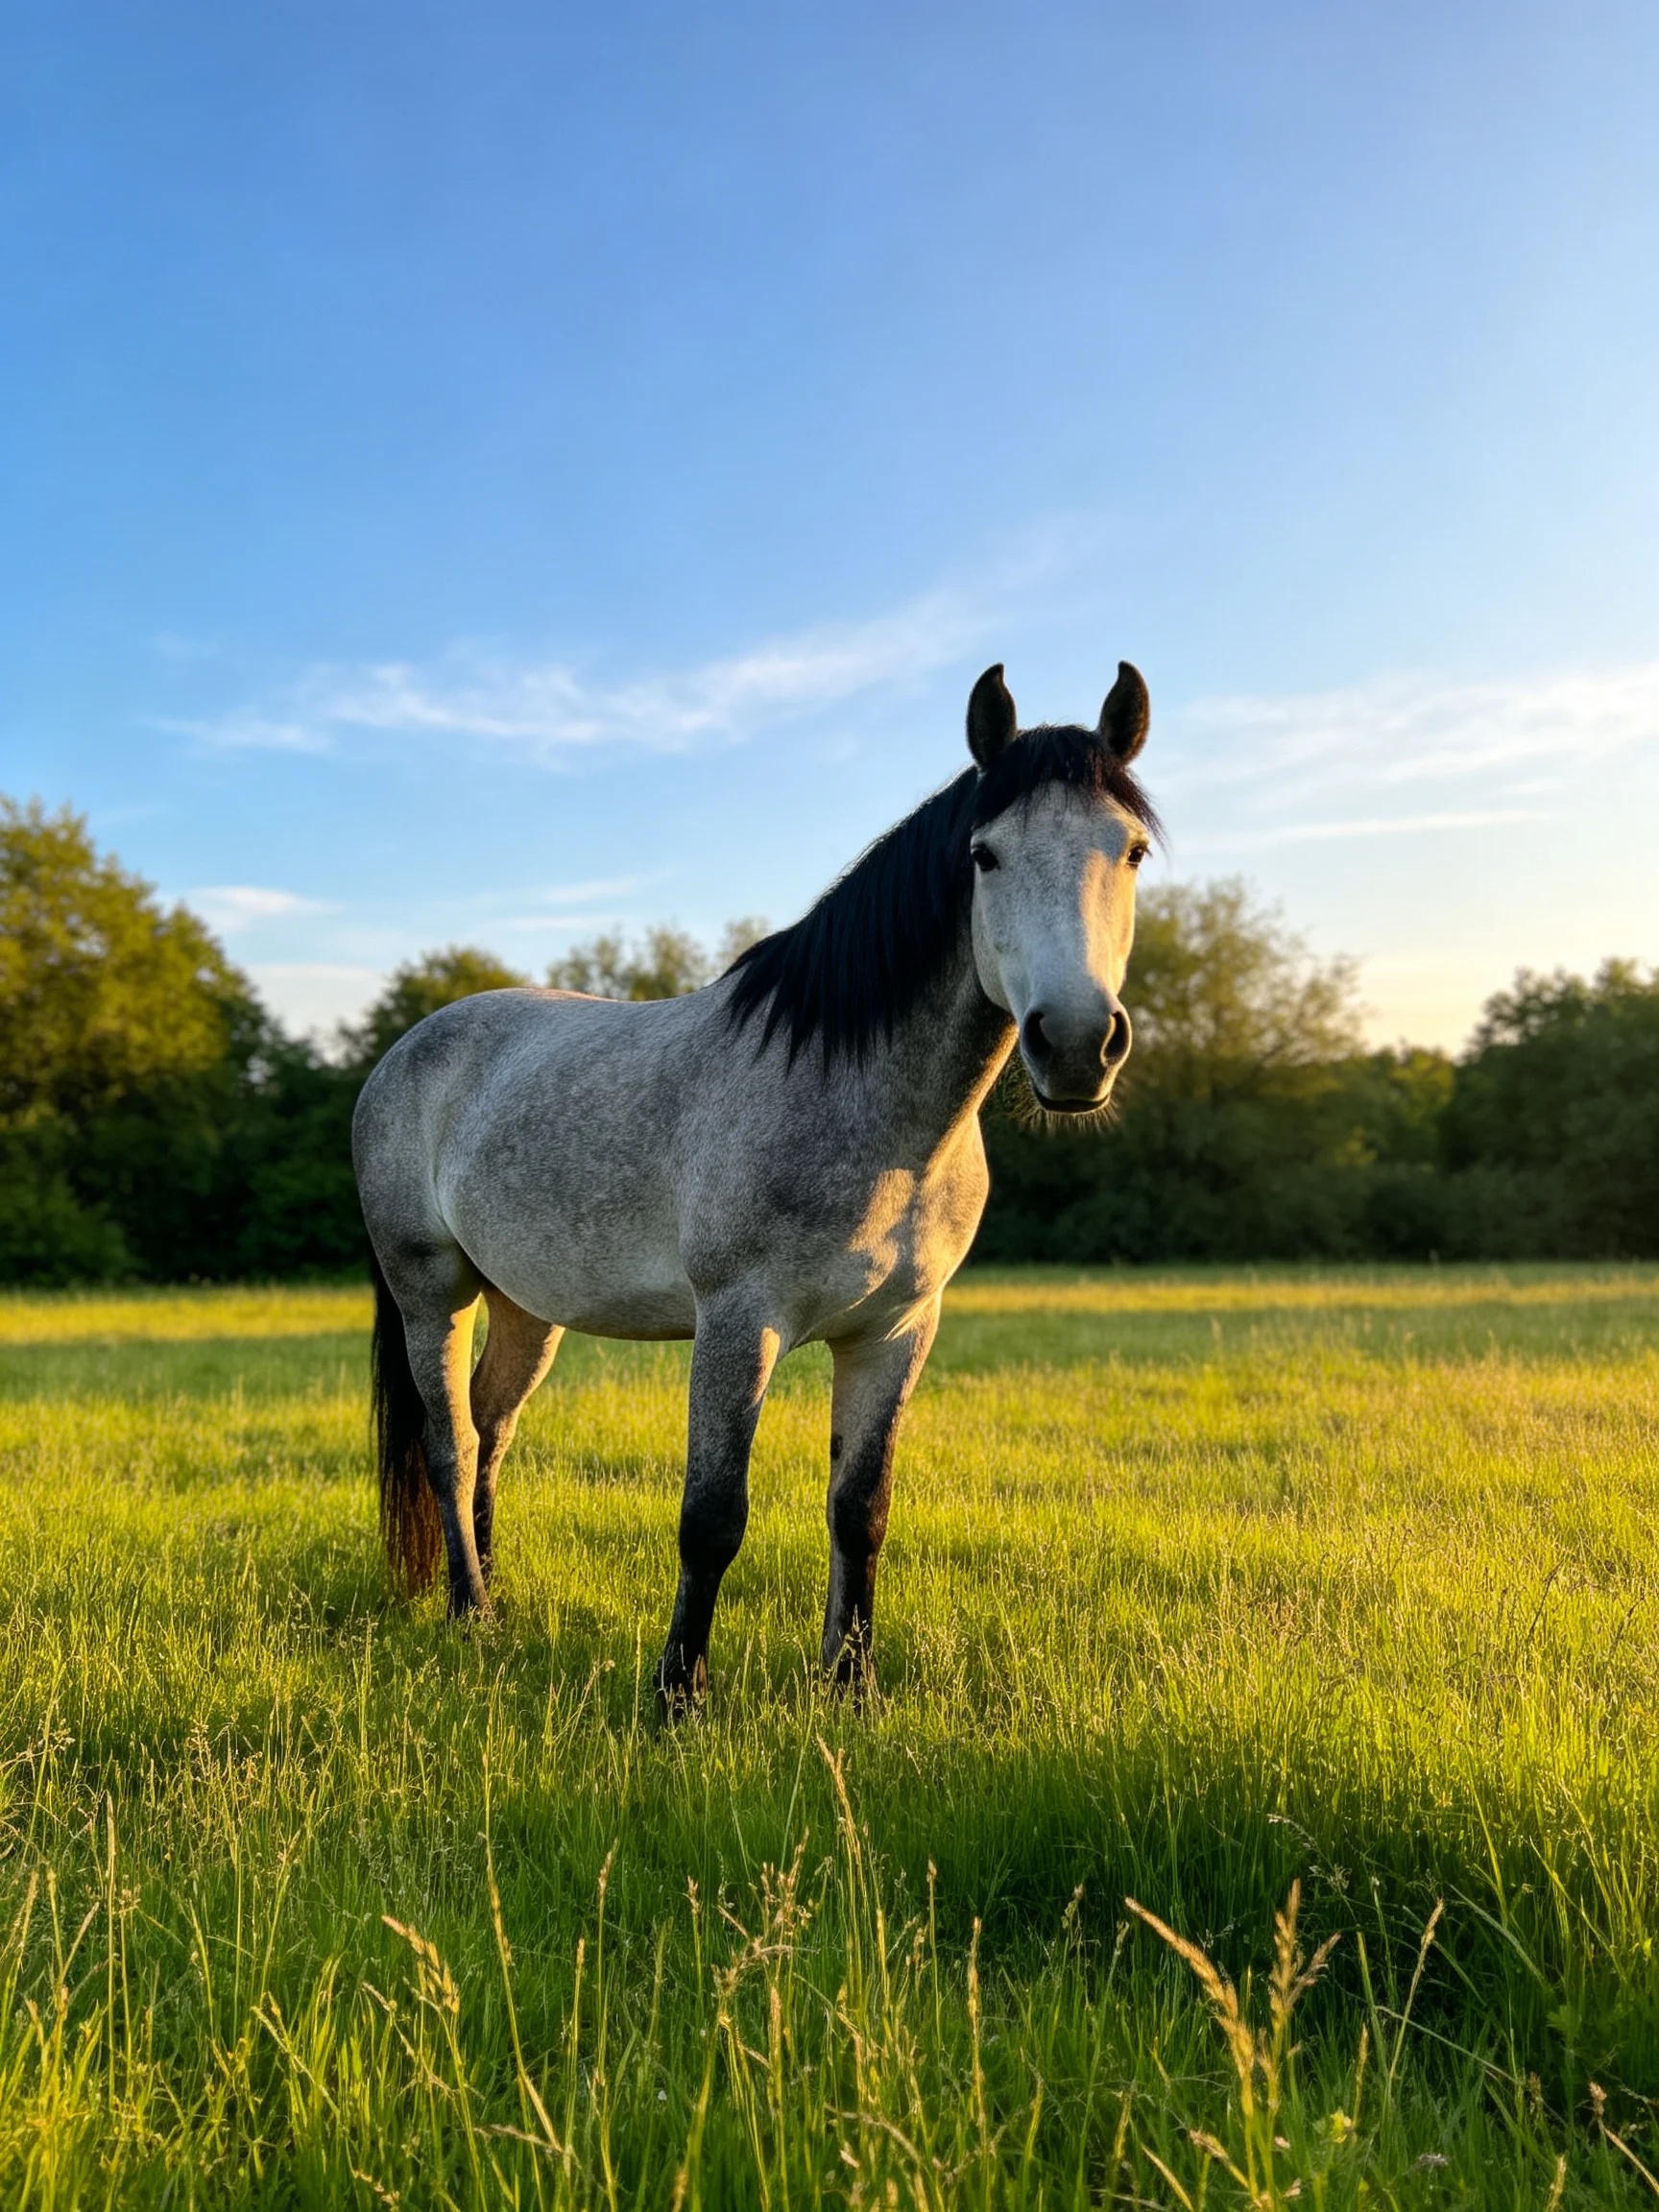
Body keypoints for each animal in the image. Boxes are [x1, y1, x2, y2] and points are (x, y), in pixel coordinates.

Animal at [353, 660, 1159, 1709]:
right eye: (984, 856)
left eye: (1132, 851)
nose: (1074, 1044)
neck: (858, 1104)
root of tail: (402, 1053)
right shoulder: (741, 1323)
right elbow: (712, 1519)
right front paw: (675, 1699)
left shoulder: (896, 1332)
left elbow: (861, 1510)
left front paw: (850, 1689)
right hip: (431, 1291)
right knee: (448, 1446)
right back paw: (470, 1614)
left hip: (525, 1307)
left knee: (493, 1431)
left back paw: (492, 1594)